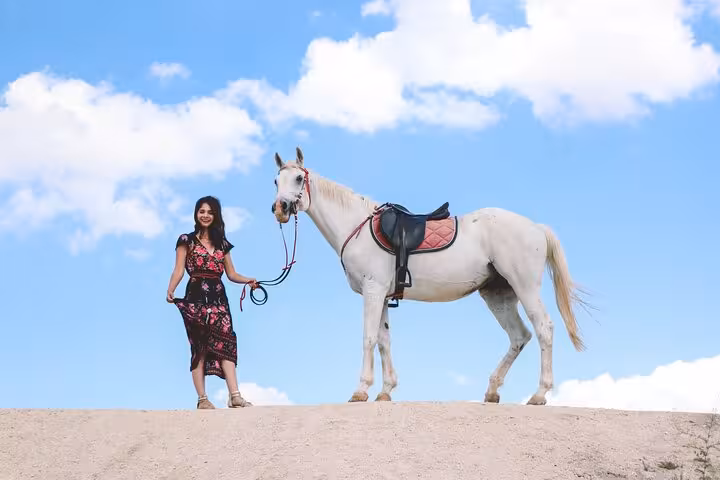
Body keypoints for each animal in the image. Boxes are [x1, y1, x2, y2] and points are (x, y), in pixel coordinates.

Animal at [270, 147, 591, 406]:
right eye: (276, 181)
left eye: (298, 179)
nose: (280, 209)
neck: (356, 226)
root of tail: (536, 227)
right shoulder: (383, 296)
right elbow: (384, 340)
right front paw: (386, 390)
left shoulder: (373, 291)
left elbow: (369, 338)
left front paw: (361, 390)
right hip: (498, 295)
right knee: (519, 336)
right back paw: (492, 391)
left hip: (525, 288)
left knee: (544, 329)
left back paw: (539, 394)